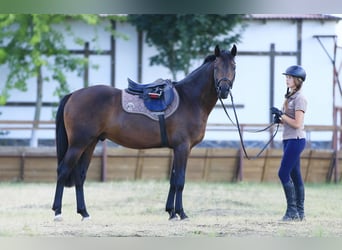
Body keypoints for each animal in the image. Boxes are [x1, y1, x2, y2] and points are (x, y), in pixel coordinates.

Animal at [52, 44, 236, 221]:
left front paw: (171, 212)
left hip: (90, 143)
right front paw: (181, 213)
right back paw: (58, 212)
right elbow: (180, 181)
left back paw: (84, 213)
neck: (190, 99)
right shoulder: (183, 147)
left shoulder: (177, 148)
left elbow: (173, 180)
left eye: (234, 66)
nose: (224, 90)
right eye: (216, 67)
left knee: (80, 176)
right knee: (62, 170)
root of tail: (73, 95)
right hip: (78, 144)